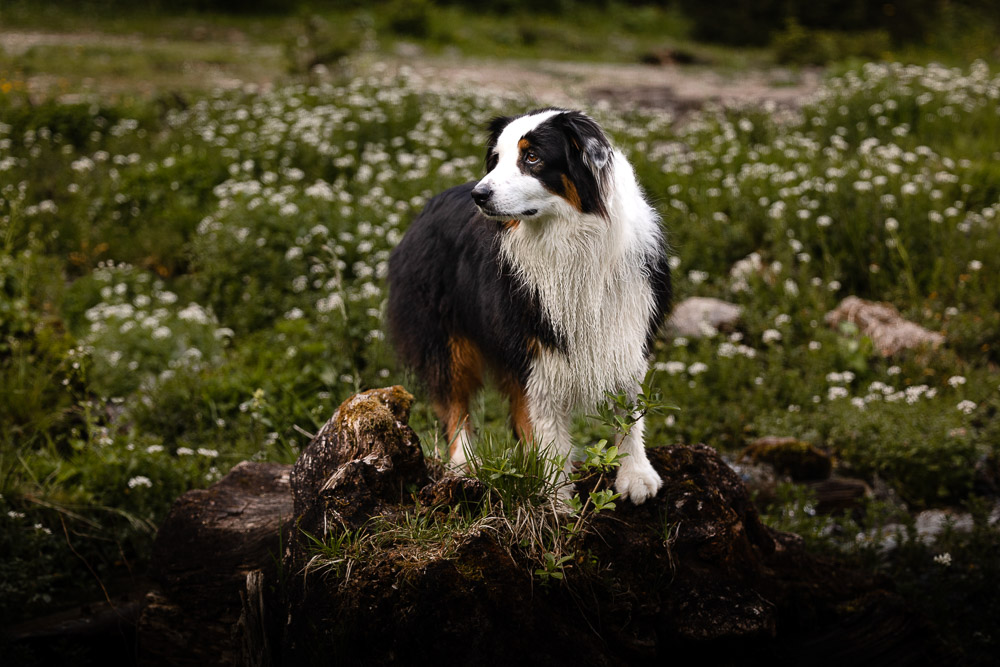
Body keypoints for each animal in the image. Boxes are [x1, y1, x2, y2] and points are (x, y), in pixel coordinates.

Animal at [386, 109, 668, 504]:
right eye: (496, 158)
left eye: (531, 157)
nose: (479, 195)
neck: (569, 240)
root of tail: (426, 208)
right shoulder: (535, 343)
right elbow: (545, 421)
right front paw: (556, 495)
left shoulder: (625, 325)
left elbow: (628, 406)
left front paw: (636, 475)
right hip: (444, 333)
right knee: (455, 401)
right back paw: (464, 464)